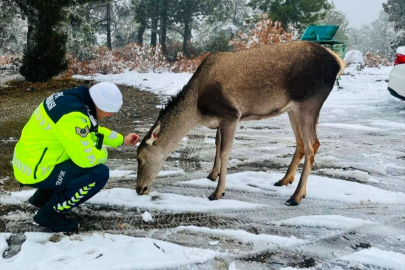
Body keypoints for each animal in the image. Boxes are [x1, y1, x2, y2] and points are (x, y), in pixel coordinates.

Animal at [136, 40, 344, 205]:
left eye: (139, 158)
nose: (139, 189)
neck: (197, 110)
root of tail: (338, 62)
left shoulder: (231, 114)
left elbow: (225, 152)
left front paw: (218, 192)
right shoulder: (220, 119)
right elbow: (217, 144)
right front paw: (212, 175)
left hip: (309, 103)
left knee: (312, 146)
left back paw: (296, 196)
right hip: (292, 109)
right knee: (302, 143)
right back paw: (285, 181)